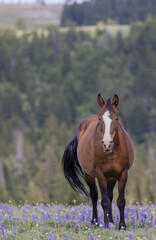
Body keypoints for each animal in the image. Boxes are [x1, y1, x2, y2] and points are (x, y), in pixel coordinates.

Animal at [61, 93, 134, 229]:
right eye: (100, 119)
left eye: (116, 118)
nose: (107, 144)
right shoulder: (101, 175)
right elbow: (104, 201)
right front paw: (105, 225)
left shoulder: (123, 173)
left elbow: (120, 201)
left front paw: (121, 225)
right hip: (89, 175)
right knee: (94, 195)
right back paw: (95, 221)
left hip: (111, 177)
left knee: (110, 196)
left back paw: (111, 221)